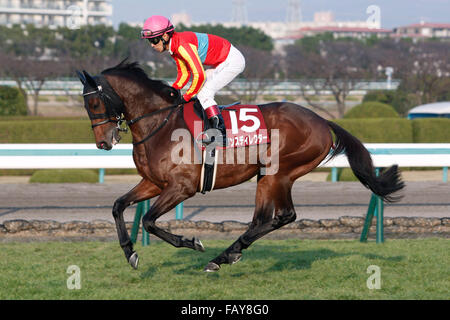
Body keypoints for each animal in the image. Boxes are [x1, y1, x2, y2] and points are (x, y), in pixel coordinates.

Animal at [74, 60, 404, 272]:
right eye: (85, 104)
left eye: (95, 103)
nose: (103, 143)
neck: (160, 123)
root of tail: (322, 120)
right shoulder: (154, 183)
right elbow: (118, 206)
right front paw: (130, 253)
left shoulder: (182, 188)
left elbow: (149, 221)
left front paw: (192, 242)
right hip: (266, 177)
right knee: (261, 219)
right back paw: (229, 254)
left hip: (279, 172)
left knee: (285, 215)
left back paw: (220, 257)